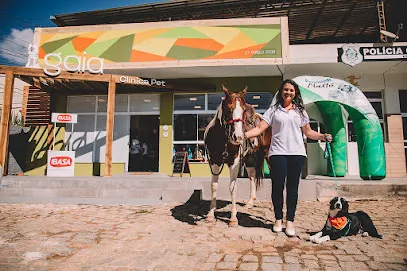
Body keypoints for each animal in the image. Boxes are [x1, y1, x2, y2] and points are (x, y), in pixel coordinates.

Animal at [203, 85, 270, 227]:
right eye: (228, 109)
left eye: (243, 110)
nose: (238, 137)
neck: (222, 139)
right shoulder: (215, 161)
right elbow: (214, 186)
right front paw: (210, 214)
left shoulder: (234, 162)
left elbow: (233, 188)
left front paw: (233, 218)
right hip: (250, 160)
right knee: (252, 176)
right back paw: (250, 202)